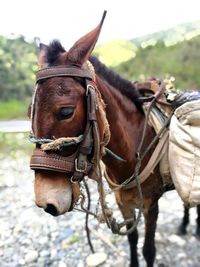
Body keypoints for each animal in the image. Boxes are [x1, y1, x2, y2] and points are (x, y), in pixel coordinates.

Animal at [28, 12, 187, 267]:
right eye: (28, 112)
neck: (134, 147)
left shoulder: (151, 205)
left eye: (66, 112)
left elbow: (148, 250)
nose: (46, 202)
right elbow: (132, 239)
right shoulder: (124, 201)